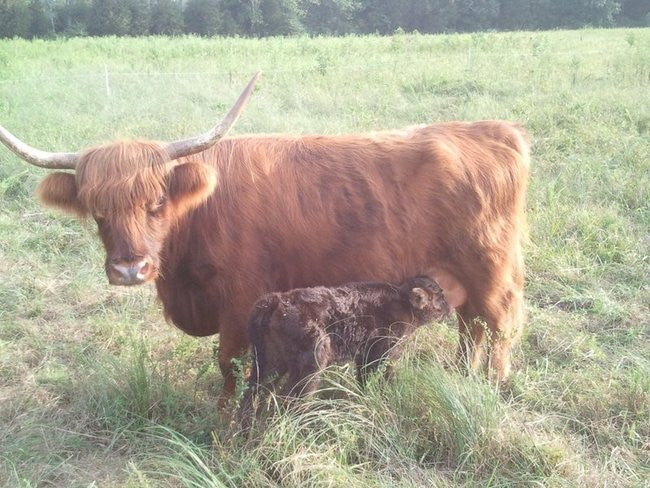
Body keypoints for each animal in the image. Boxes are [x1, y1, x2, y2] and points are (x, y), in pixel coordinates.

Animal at [240, 275, 451, 417]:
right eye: (440, 297)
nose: (449, 307)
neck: (405, 303)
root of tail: (275, 301)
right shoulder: (380, 355)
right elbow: (378, 380)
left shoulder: (364, 357)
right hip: (311, 363)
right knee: (290, 398)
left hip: (267, 363)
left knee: (253, 394)